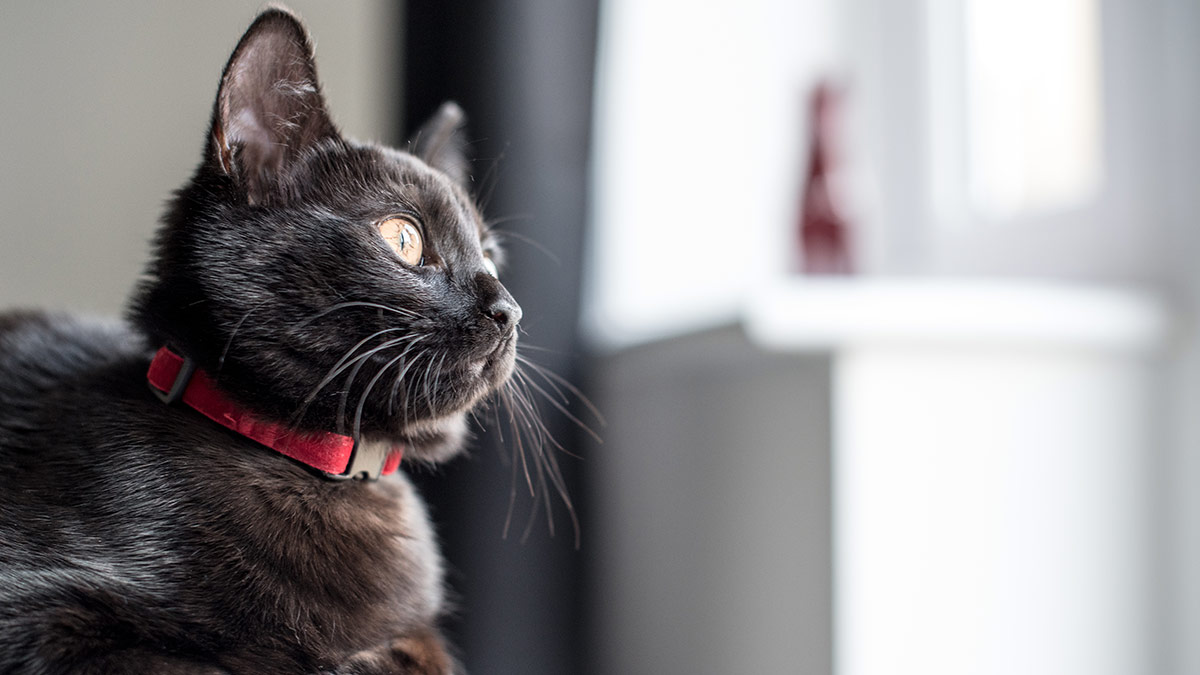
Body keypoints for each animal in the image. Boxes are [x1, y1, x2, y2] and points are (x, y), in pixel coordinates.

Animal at [0, 7, 516, 667]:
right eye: (403, 238)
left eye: (492, 257)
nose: (509, 309)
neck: (314, 463)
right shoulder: (41, 619)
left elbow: (420, 650)